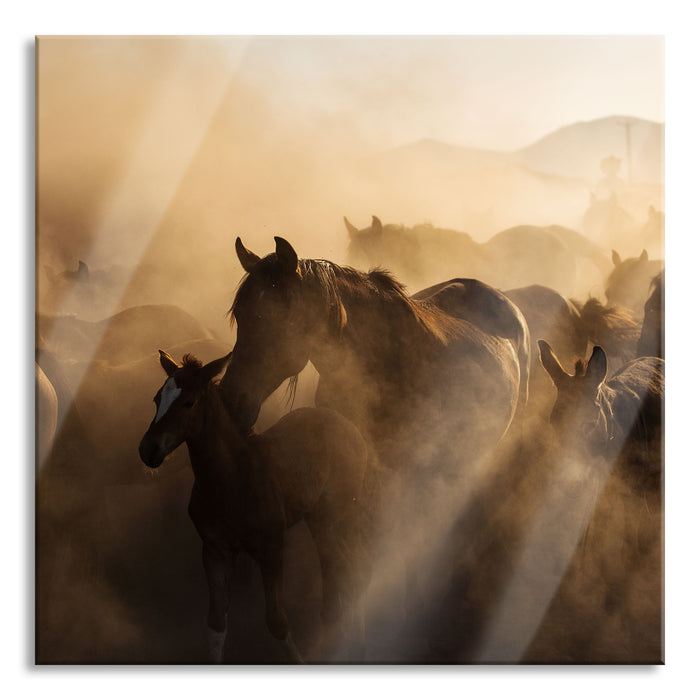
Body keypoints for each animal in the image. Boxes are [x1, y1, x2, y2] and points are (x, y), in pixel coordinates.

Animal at [137, 350, 370, 660]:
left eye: (189, 402)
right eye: (156, 399)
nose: (148, 449)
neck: (232, 478)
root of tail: (346, 423)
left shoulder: (272, 549)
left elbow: (277, 622)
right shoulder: (215, 551)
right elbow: (215, 626)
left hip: (344, 511)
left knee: (353, 566)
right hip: (317, 517)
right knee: (335, 568)